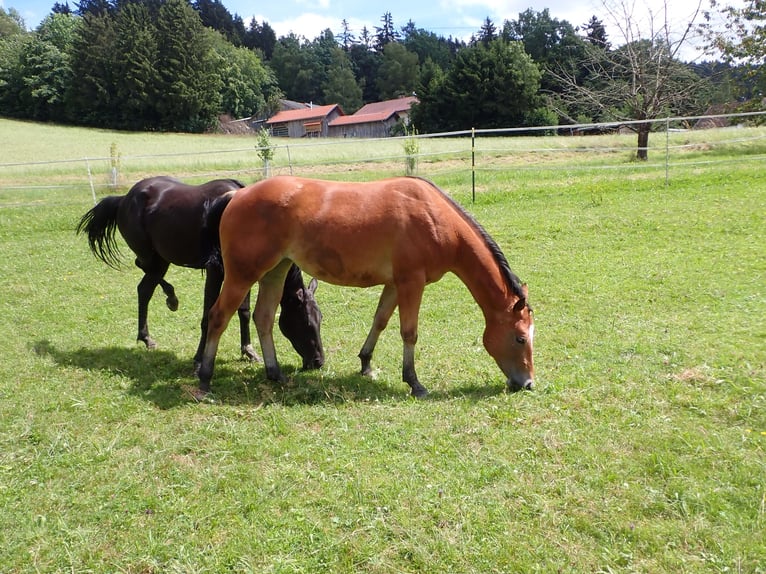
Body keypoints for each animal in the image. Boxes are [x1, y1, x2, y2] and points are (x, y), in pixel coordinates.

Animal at [77, 177, 328, 374]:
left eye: (320, 319)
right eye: (305, 321)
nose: (318, 361)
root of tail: (123, 199)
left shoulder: (241, 274)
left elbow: (244, 312)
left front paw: (248, 351)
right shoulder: (217, 271)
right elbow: (209, 315)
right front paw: (199, 359)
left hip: (161, 259)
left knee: (145, 287)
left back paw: (147, 334)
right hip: (152, 257)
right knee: (143, 273)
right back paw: (170, 301)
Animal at [198, 177, 536, 400]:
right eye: (520, 338)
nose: (529, 383)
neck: (434, 216)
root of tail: (236, 196)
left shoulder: (395, 283)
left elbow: (380, 321)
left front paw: (366, 364)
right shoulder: (411, 282)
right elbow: (409, 332)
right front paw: (414, 383)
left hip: (275, 271)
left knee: (264, 318)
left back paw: (275, 373)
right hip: (242, 276)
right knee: (218, 317)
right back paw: (204, 379)